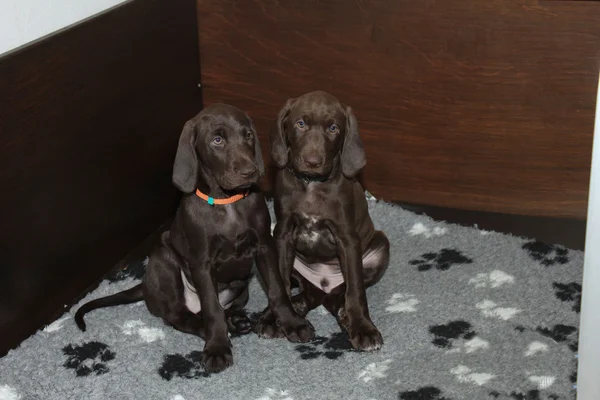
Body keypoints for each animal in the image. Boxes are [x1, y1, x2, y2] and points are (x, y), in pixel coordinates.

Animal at [75, 103, 314, 372]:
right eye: (217, 140)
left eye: (248, 136)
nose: (250, 172)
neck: (227, 202)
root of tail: (145, 287)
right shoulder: (201, 263)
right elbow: (211, 307)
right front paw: (217, 347)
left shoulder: (264, 246)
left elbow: (277, 289)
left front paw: (292, 323)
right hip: (164, 260)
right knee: (180, 315)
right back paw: (220, 329)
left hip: (241, 284)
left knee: (222, 307)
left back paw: (236, 321)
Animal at [255, 90, 392, 350]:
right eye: (300, 124)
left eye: (333, 128)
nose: (312, 161)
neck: (311, 184)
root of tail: (324, 284)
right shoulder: (283, 234)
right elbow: (280, 280)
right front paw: (272, 317)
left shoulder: (347, 239)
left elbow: (356, 289)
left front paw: (362, 327)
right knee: (311, 293)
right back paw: (298, 305)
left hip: (380, 245)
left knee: (343, 291)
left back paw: (344, 314)